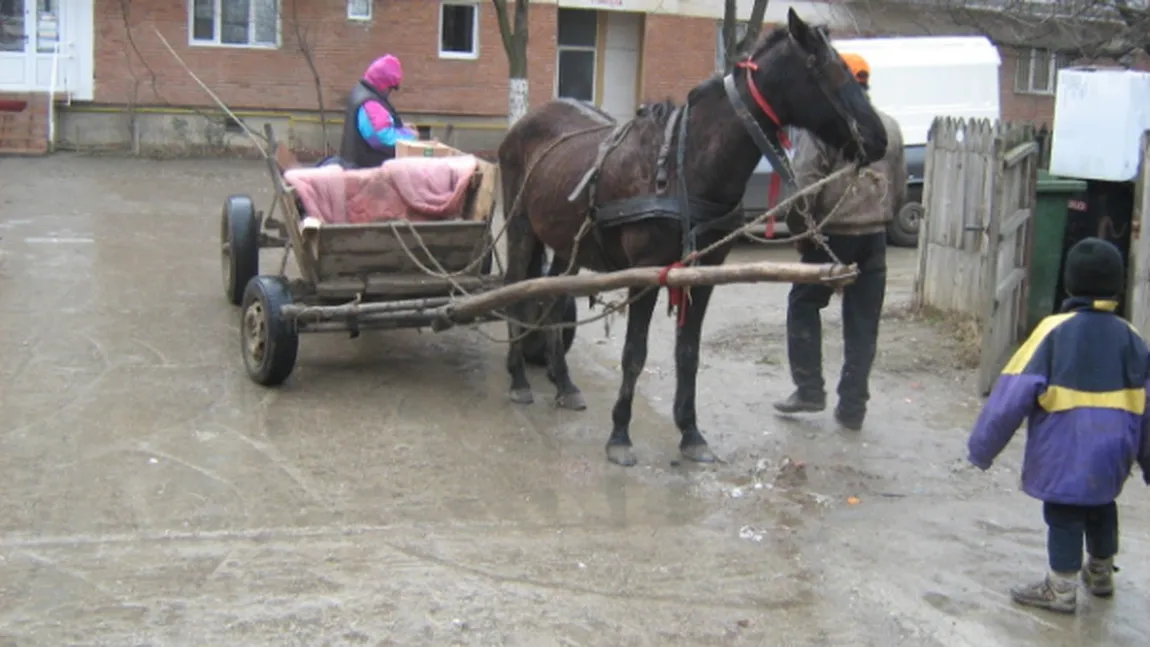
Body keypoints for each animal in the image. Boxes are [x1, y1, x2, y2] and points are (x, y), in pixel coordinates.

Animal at [496, 10, 887, 466]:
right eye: (827, 69)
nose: (878, 138)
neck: (686, 165)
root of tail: (522, 124)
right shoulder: (645, 273)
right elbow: (634, 354)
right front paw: (620, 435)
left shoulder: (704, 275)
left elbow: (688, 354)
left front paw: (690, 433)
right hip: (521, 227)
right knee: (516, 291)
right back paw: (519, 378)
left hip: (565, 246)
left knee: (554, 298)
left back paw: (563, 383)